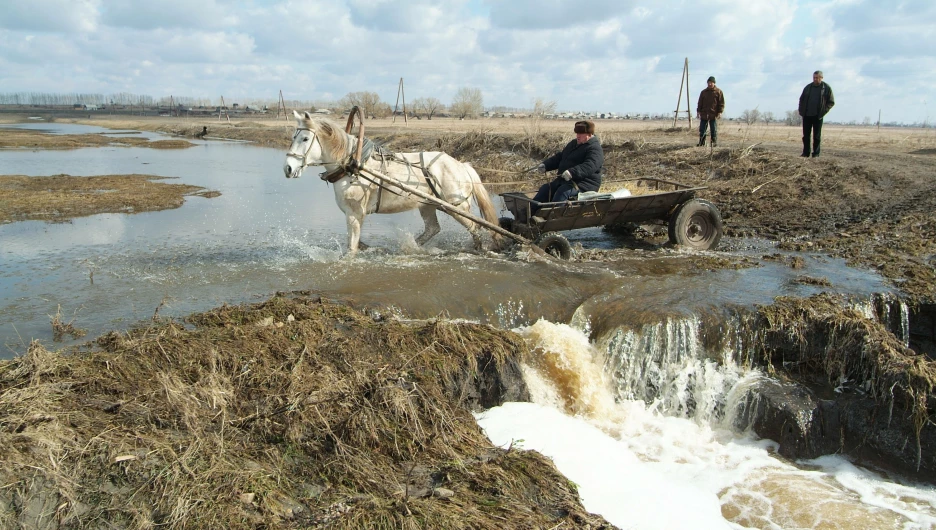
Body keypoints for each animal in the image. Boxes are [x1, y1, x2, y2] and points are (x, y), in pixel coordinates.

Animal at [284, 109, 500, 254]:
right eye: (293, 136)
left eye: (305, 139)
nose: (288, 168)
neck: (353, 166)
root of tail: (461, 165)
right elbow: (356, 243)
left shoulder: (354, 214)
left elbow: (351, 247)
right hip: (428, 205)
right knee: (433, 229)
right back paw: (411, 247)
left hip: (458, 207)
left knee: (475, 228)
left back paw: (480, 249)